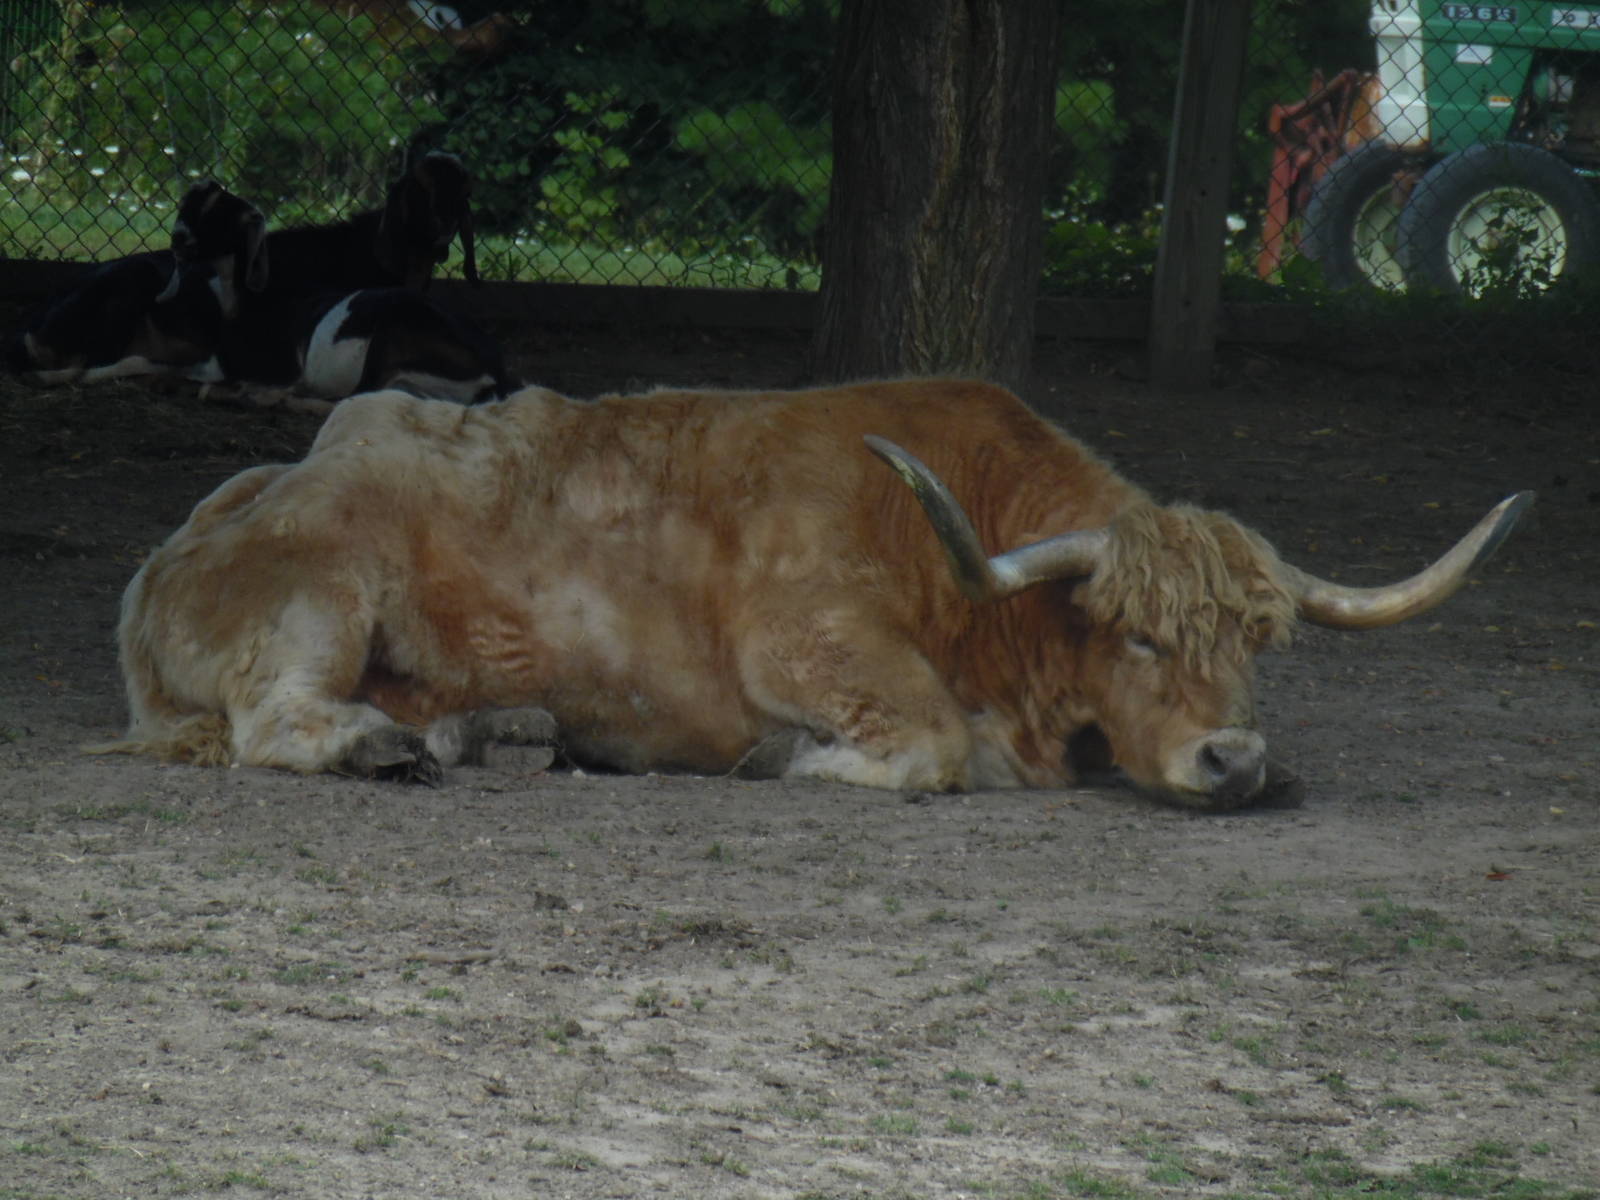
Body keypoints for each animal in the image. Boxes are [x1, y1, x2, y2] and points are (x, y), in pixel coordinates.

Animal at [100, 379, 1532, 808]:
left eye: (1257, 645)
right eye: (1131, 635)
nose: (1230, 757)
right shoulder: (812, 638)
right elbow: (931, 746)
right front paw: (793, 761)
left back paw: (509, 730)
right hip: (319, 593)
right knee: (277, 720)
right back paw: (382, 748)